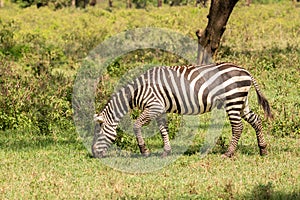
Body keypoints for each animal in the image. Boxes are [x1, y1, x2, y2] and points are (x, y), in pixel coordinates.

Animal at [92, 62, 274, 158]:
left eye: (98, 133)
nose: (94, 154)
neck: (138, 91)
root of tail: (246, 71)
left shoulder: (154, 106)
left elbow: (136, 126)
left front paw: (144, 150)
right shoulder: (160, 109)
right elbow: (163, 130)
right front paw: (166, 152)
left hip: (233, 100)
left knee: (238, 127)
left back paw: (228, 153)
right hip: (242, 102)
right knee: (256, 121)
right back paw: (263, 149)